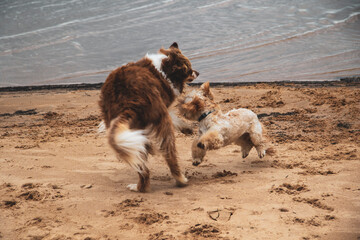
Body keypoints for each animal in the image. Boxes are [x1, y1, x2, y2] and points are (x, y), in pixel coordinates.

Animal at [100, 42, 198, 192]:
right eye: (189, 69)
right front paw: (186, 128)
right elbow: (173, 117)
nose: (198, 73)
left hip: (132, 134)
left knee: (141, 165)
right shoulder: (164, 109)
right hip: (161, 124)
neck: (164, 68)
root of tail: (129, 101)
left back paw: (139, 187)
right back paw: (181, 180)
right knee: (170, 155)